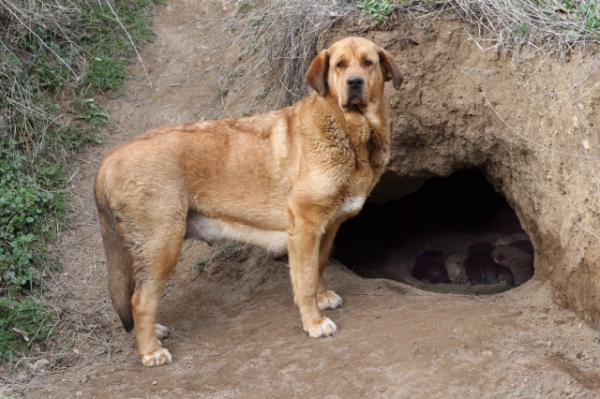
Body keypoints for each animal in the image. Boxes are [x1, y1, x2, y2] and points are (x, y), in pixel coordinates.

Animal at [95, 36, 404, 368]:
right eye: (340, 65)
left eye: (367, 63)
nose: (354, 82)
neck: (348, 130)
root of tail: (109, 159)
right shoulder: (304, 229)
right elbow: (305, 281)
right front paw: (314, 322)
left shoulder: (328, 227)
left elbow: (319, 266)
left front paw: (323, 298)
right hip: (162, 244)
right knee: (141, 300)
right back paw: (150, 351)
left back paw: (155, 332)